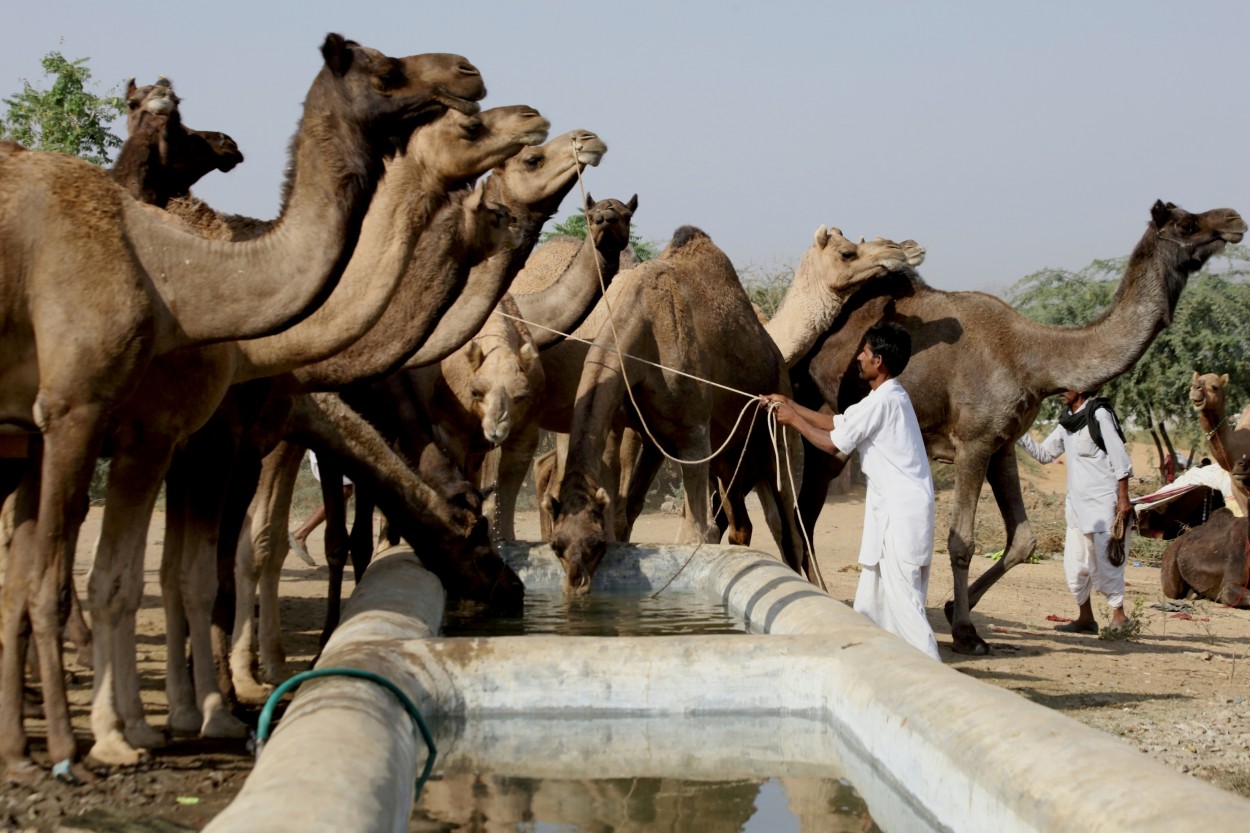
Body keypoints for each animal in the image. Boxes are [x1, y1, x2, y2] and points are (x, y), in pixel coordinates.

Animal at [550, 227, 810, 590]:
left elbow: (698, 533)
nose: (576, 583)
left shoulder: (693, 429)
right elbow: (623, 510)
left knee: (789, 530)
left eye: (595, 544)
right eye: (555, 545)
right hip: (730, 455)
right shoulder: (631, 424)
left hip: (777, 433)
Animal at [795, 201, 1245, 655]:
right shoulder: (973, 442)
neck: (1032, 359)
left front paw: (951, 605)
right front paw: (966, 632)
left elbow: (1024, 539)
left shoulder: (1002, 444)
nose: (1233, 220)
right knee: (806, 506)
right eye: (1187, 223)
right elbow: (962, 541)